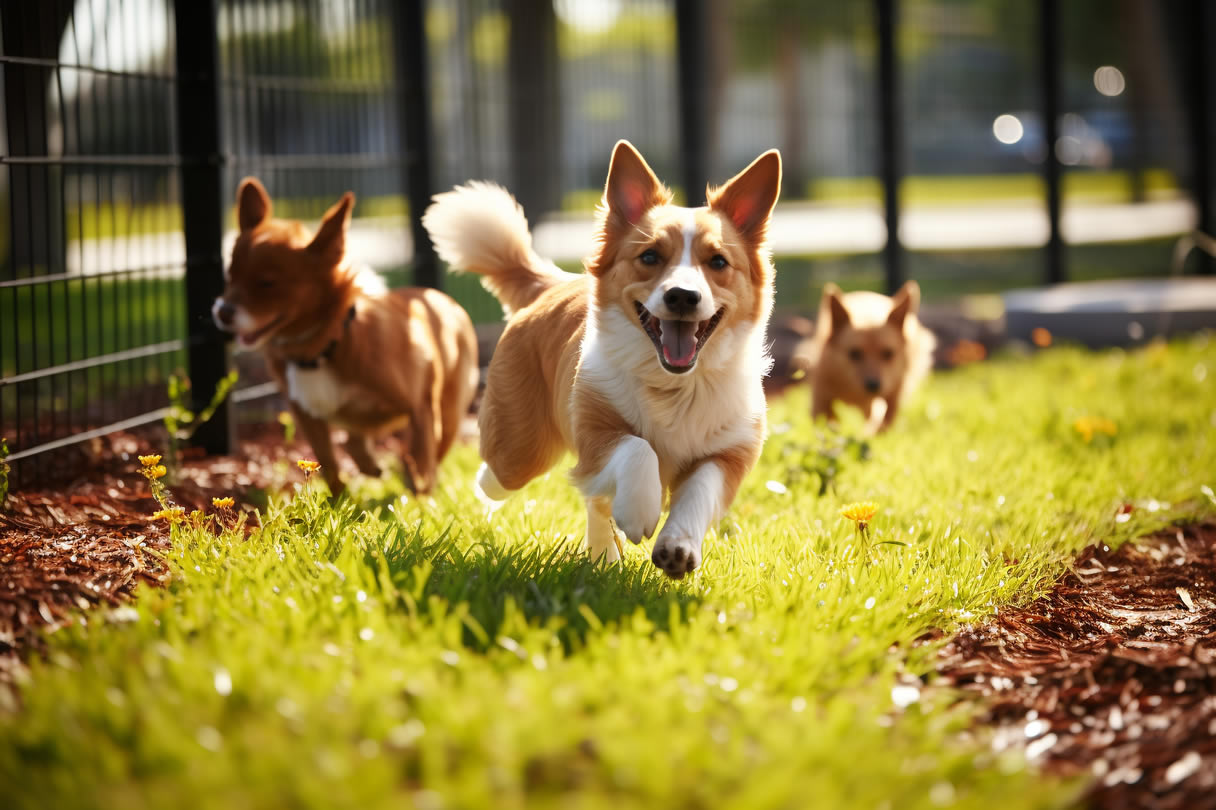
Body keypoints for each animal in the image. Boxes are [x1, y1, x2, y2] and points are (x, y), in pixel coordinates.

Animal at [211, 177, 476, 491]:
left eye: (267, 283)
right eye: (230, 275)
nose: (222, 311)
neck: (326, 346)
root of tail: (438, 296)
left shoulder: (420, 408)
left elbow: (421, 460)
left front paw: (420, 494)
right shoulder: (308, 418)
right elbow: (330, 465)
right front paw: (337, 499)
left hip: (449, 414)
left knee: (429, 450)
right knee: (354, 440)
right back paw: (371, 465)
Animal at [423, 141, 783, 576]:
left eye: (717, 262)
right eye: (650, 257)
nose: (682, 296)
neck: (674, 384)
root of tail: (551, 284)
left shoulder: (731, 452)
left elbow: (699, 489)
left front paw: (677, 548)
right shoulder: (594, 430)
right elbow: (638, 447)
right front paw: (640, 512)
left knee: (594, 499)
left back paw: (603, 554)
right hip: (520, 450)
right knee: (507, 475)